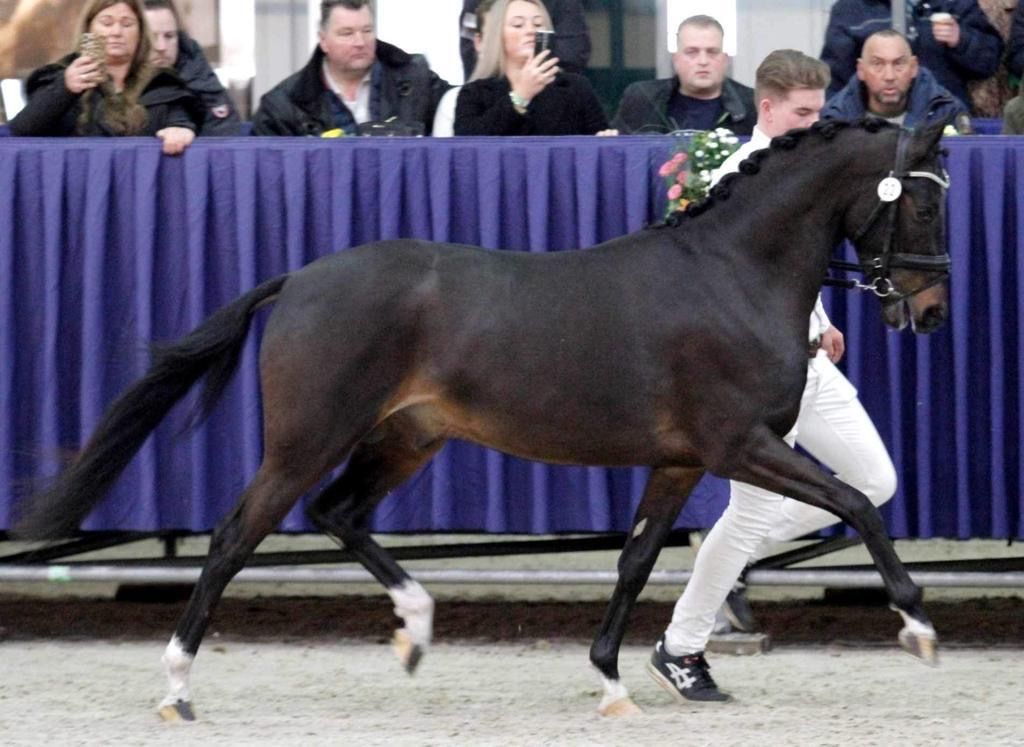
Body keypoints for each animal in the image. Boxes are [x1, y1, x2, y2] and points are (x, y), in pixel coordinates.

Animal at [14, 118, 952, 720]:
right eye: (925, 203)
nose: (932, 309)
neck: (729, 274)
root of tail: (302, 279)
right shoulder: (739, 445)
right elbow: (858, 504)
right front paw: (917, 625)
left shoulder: (683, 460)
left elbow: (636, 560)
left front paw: (614, 681)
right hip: (309, 438)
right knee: (235, 536)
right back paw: (176, 686)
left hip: (407, 438)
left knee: (337, 512)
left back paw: (416, 629)